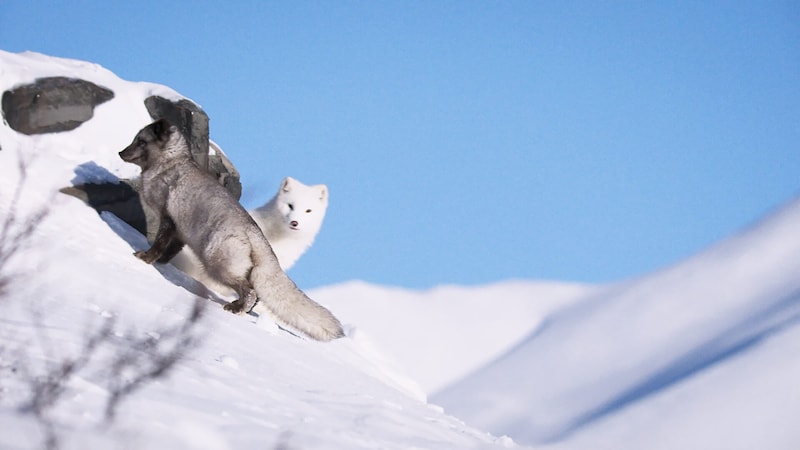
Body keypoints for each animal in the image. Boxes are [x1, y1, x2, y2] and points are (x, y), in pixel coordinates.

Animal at [119, 119, 344, 342]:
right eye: (135, 139)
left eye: (141, 141)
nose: (121, 153)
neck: (169, 164)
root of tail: (258, 236)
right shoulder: (180, 231)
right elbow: (170, 250)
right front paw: (163, 263)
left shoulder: (168, 219)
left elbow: (159, 244)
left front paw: (146, 258)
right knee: (254, 294)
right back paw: (238, 307)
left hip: (217, 264)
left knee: (250, 291)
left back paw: (235, 309)